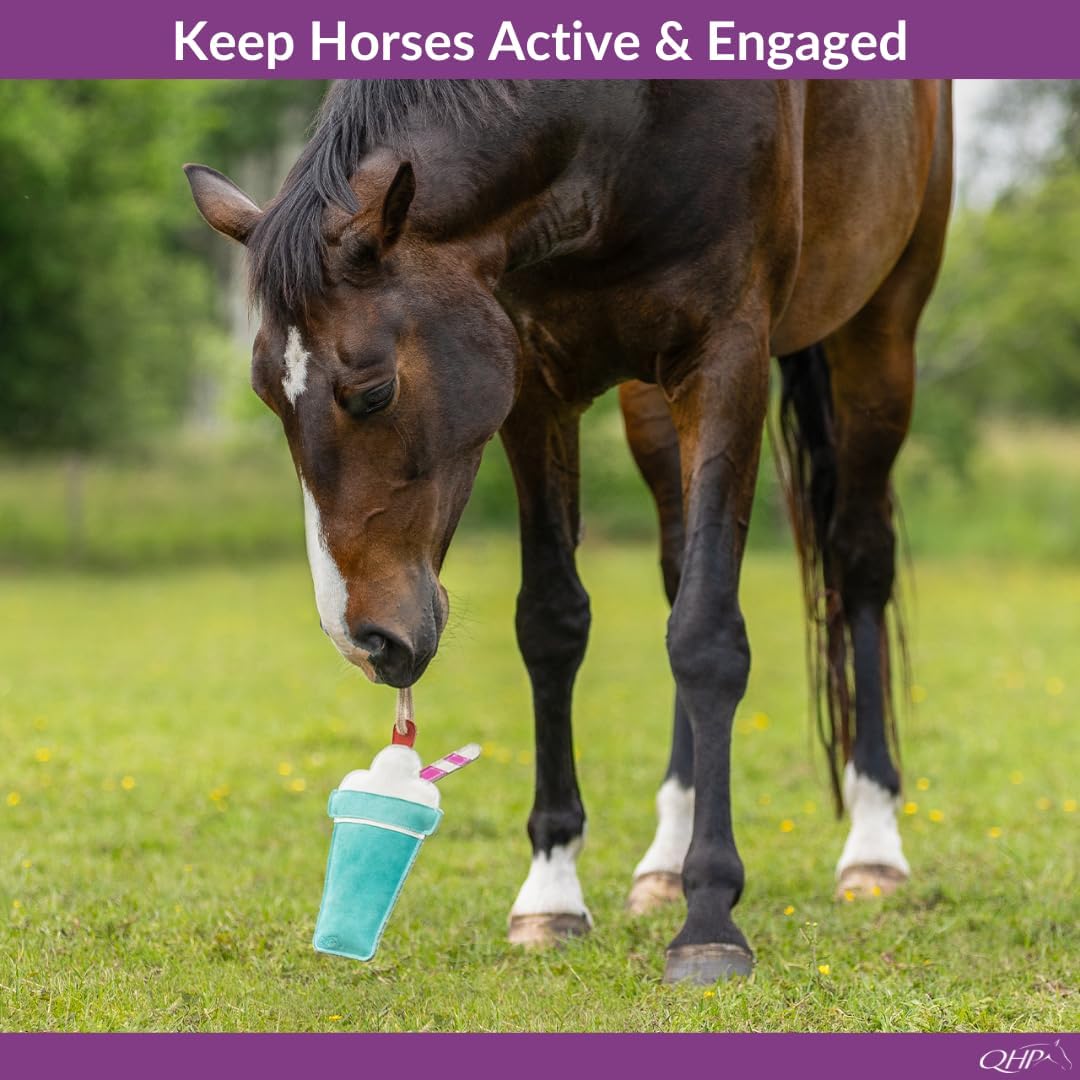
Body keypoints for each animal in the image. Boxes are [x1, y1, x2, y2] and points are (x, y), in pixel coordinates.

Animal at [184, 78, 953, 985]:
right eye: (268, 396)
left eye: (372, 390)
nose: (364, 639)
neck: (623, 122)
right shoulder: (532, 382)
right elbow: (553, 624)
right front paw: (551, 891)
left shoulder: (726, 360)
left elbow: (707, 637)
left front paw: (710, 919)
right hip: (651, 402)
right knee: (678, 570)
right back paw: (665, 858)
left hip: (880, 336)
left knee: (858, 566)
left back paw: (872, 843)